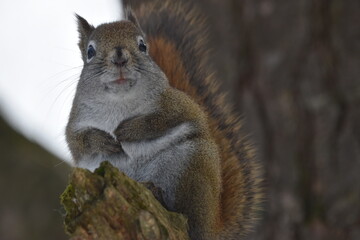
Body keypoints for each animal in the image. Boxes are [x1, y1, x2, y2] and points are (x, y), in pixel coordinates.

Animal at [65, 0, 262, 239]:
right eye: (90, 51)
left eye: (142, 45)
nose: (119, 57)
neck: (120, 101)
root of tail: (213, 226)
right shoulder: (76, 120)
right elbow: (77, 142)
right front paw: (102, 140)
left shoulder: (179, 104)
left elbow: (161, 120)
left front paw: (129, 129)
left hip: (192, 166)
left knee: (189, 216)